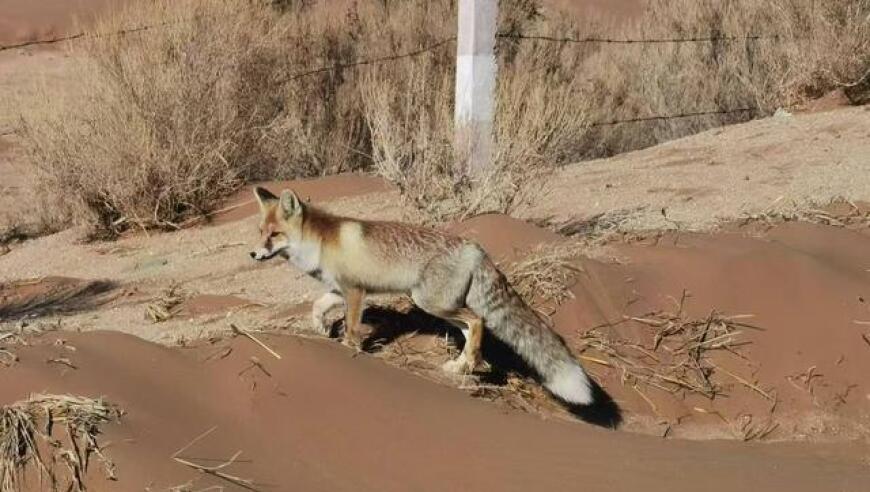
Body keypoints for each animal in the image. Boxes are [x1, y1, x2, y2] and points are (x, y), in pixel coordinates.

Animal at [249, 186, 596, 406]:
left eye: (275, 234)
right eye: (260, 232)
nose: (253, 254)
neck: (319, 242)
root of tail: (475, 248)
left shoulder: (356, 291)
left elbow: (351, 329)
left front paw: (350, 351)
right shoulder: (339, 289)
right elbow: (316, 306)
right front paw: (320, 328)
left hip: (429, 302)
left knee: (478, 321)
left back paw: (468, 364)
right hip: (441, 307)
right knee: (470, 329)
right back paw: (461, 365)